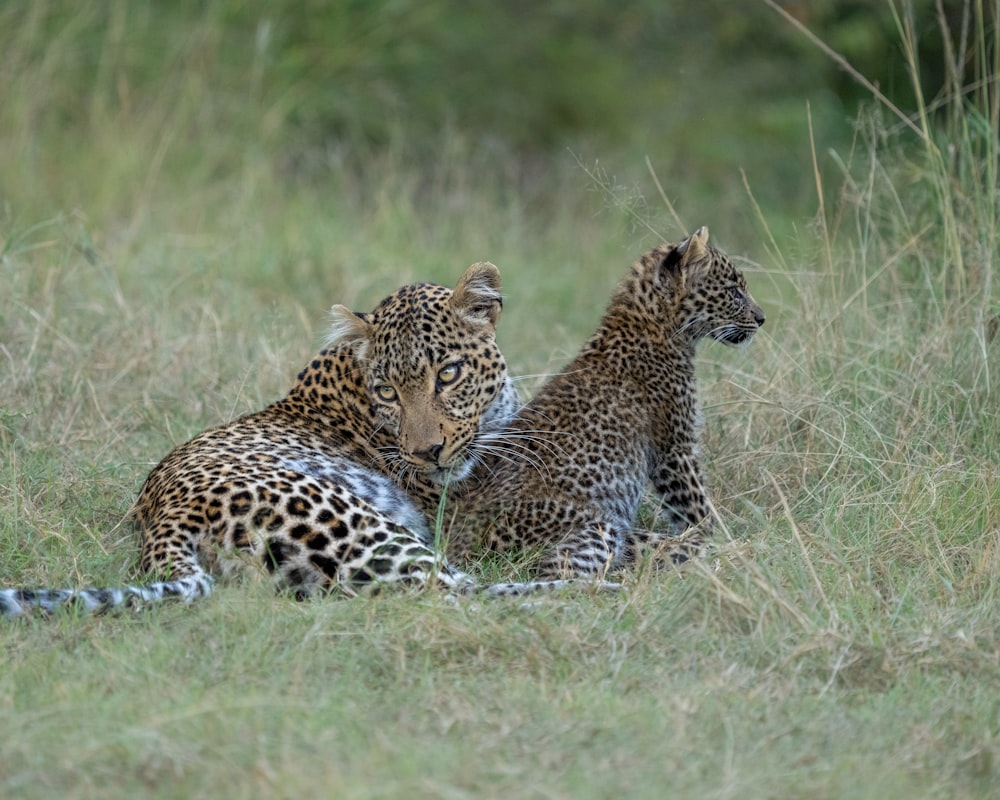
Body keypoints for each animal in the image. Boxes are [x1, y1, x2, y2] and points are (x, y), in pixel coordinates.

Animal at [442, 228, 760, 580]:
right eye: (734, 291)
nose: (762, 319)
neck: (656, 326)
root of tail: (461, 538)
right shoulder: (675, 449)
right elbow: (698, 510)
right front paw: (721, 531)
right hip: (596, 527)